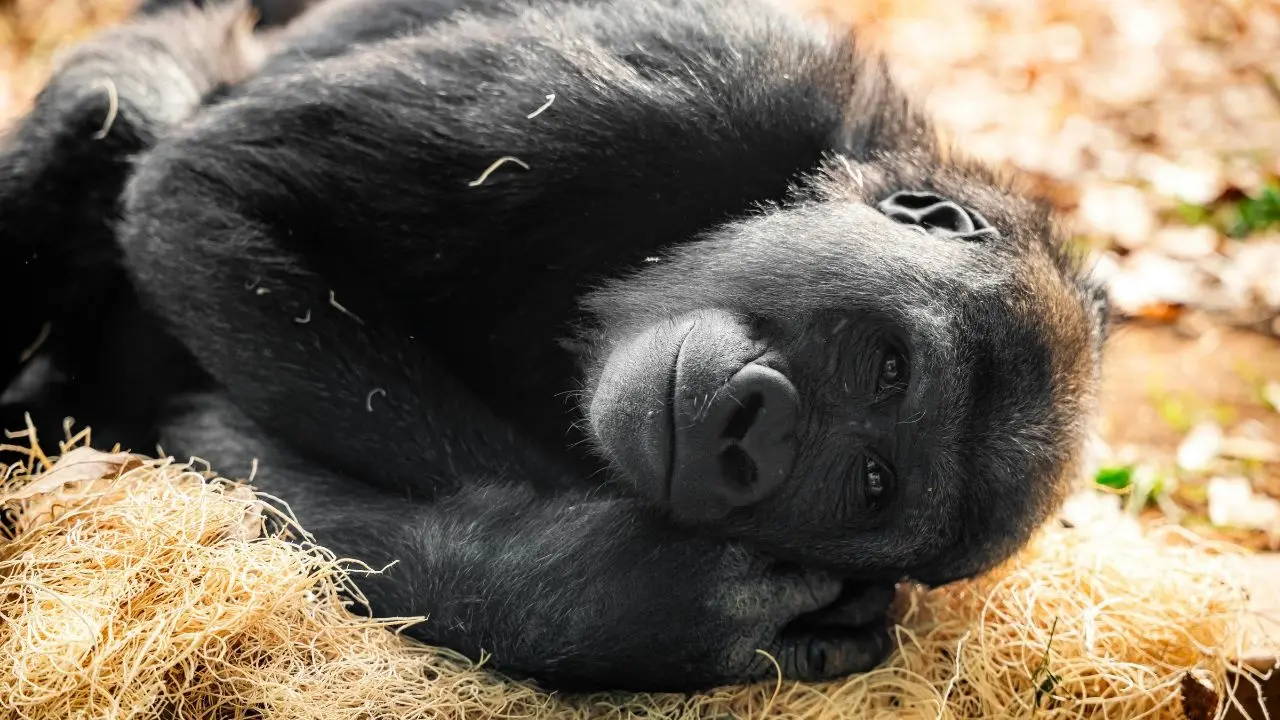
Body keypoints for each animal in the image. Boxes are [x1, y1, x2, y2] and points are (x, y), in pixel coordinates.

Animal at [0, 0, 1111, 692]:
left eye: (871, 486)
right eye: (887, 365)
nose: (754, 438)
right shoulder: (704, 88)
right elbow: (211, 192)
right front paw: (610, 589)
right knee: (123, 106)